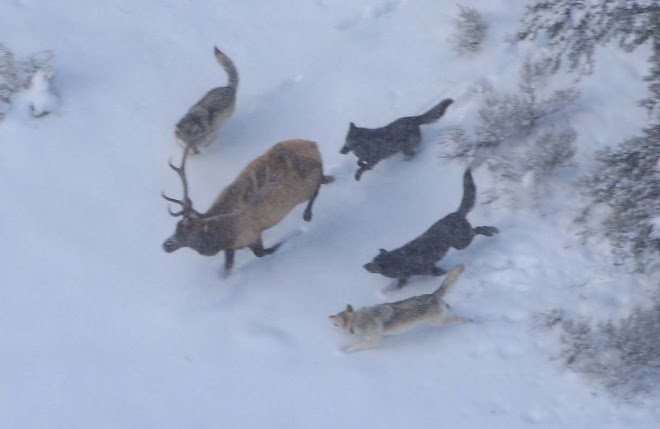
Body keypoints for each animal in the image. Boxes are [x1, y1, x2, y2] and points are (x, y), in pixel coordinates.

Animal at [330, 265, 470, 352]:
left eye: (335, 321)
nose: (329, 317)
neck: (357, 320)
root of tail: (433, 295)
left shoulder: (374, 341)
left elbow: (357, 346)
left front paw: (345, 350)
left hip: (438, 323)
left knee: (457, 319)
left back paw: (469, 321)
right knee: (449, 308)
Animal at [363, 168, 498, 287]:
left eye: (373, 263)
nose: (364, 266)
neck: (397, 261)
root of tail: (455, 213)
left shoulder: (429, 269)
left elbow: (440, 273)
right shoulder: (405, 277)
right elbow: (401, 283)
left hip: (461, 242)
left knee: (478, 229)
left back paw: (491, 231)